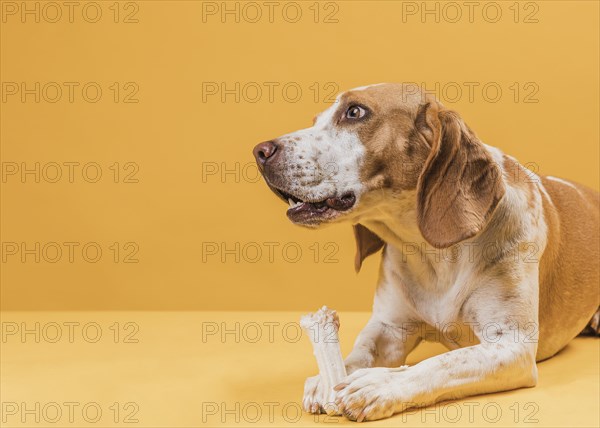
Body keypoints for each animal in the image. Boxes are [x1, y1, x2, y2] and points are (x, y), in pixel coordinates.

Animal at [251, 83, 596, 422]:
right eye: (315, 120)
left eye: (355, 112)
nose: (260, 151)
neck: (435, 254)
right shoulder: (388, 327)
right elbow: (357, 353)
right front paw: (326, 379)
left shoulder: (512, 345)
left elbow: (442, 364)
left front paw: (380, 384)